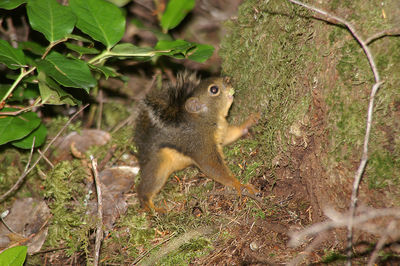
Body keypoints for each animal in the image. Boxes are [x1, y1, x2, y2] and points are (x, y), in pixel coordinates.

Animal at [134, 71, 260, 212]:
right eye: (214, 89)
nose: (228, 79)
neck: (206, 119)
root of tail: (142, 147)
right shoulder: (200, 143)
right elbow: (212, 166)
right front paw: (239, 184)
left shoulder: (222, 134)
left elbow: (231, 134)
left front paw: (249, 122)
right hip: (157, 165)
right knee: (144, 190)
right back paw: (153, 209)